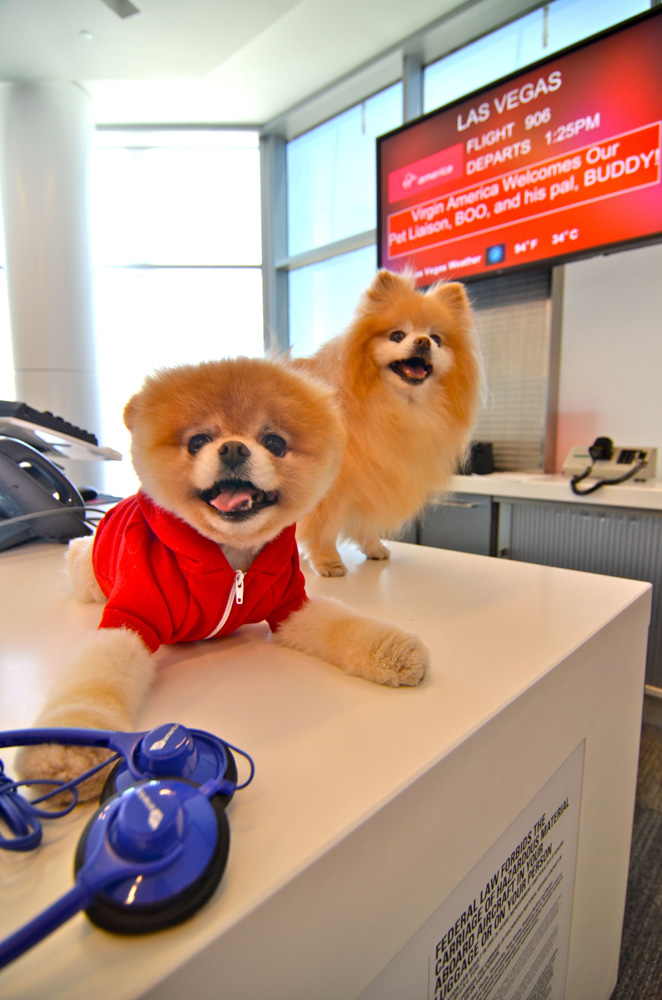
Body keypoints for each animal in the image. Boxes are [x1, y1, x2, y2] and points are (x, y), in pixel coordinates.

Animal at [19, 356, 430, 800]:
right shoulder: (131, 616)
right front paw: (70, 751)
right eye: (198, 441)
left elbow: (342, 624)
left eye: (275, 442)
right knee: (79, 558)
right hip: (91, 574)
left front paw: (393, 651)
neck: (232, 561)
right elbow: (94, 680)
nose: (233, 447)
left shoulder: (290, 604)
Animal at [296, 268, 482, 580]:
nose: (423, 342)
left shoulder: (373, 479)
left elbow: (366, 523)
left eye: (436, 338)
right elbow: (321, 528)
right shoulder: (329, 490)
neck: (392, 408)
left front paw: (373, 547)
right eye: (397, 335)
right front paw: (327, 561)